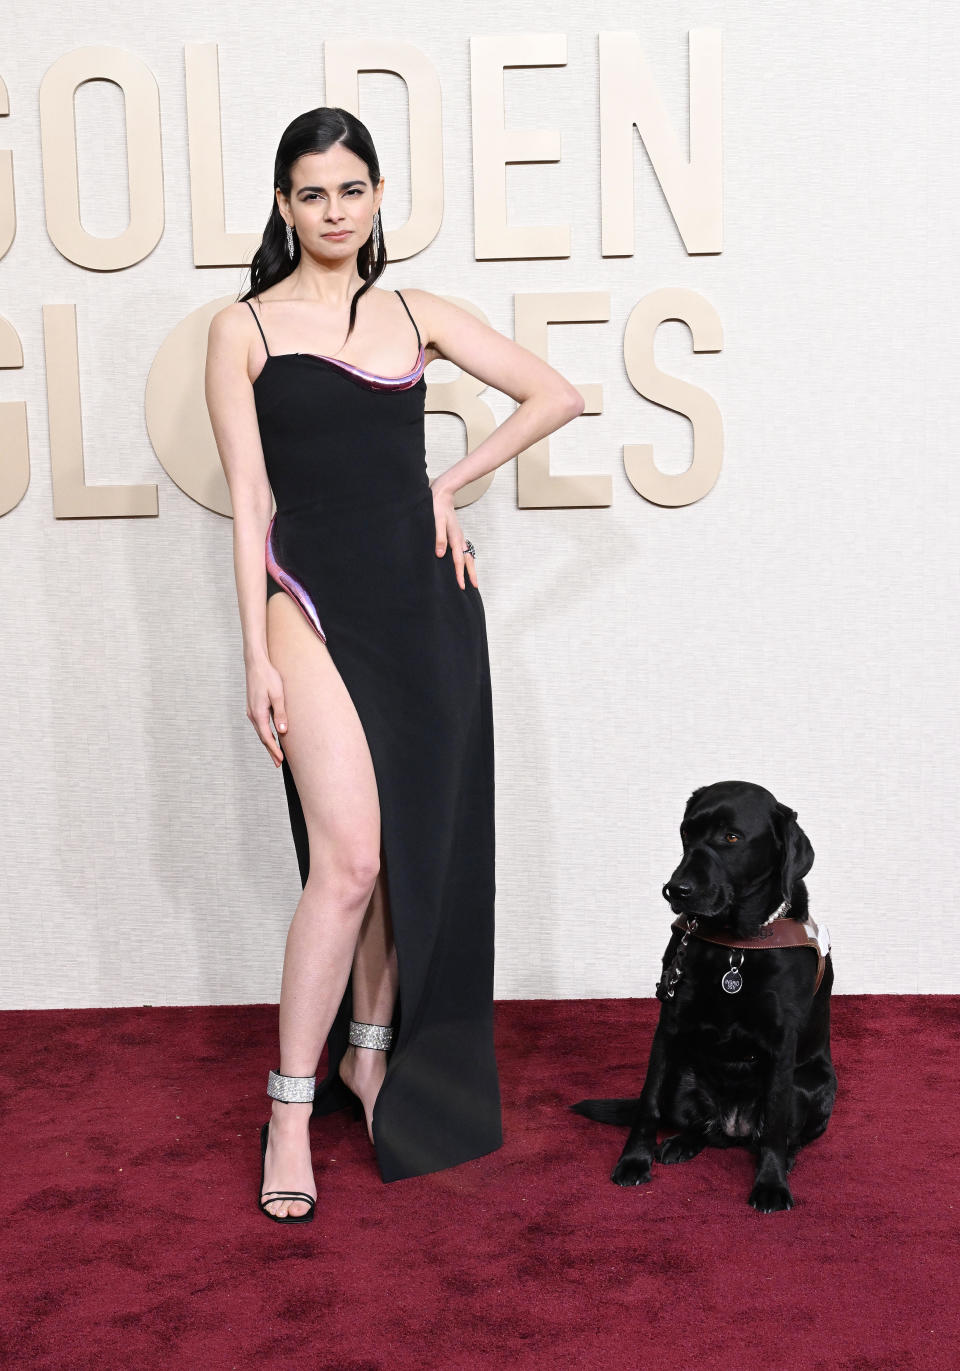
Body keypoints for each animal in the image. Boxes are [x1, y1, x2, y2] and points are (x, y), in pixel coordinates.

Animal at [573, 784, 833, 1211]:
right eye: (686, 833)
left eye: (731, 837)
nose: (674, 890)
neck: (735, 944)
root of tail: (734, 1126)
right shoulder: (669, 1023)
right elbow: (647, 1102)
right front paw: (634, 1160)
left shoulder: (782, 1040)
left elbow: (776, 1125)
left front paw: (772, 1183)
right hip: (683, 1074)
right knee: (703, 1129)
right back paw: (680, 1143)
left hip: (808, 1085)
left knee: (777, 1135)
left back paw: (785, 1159)